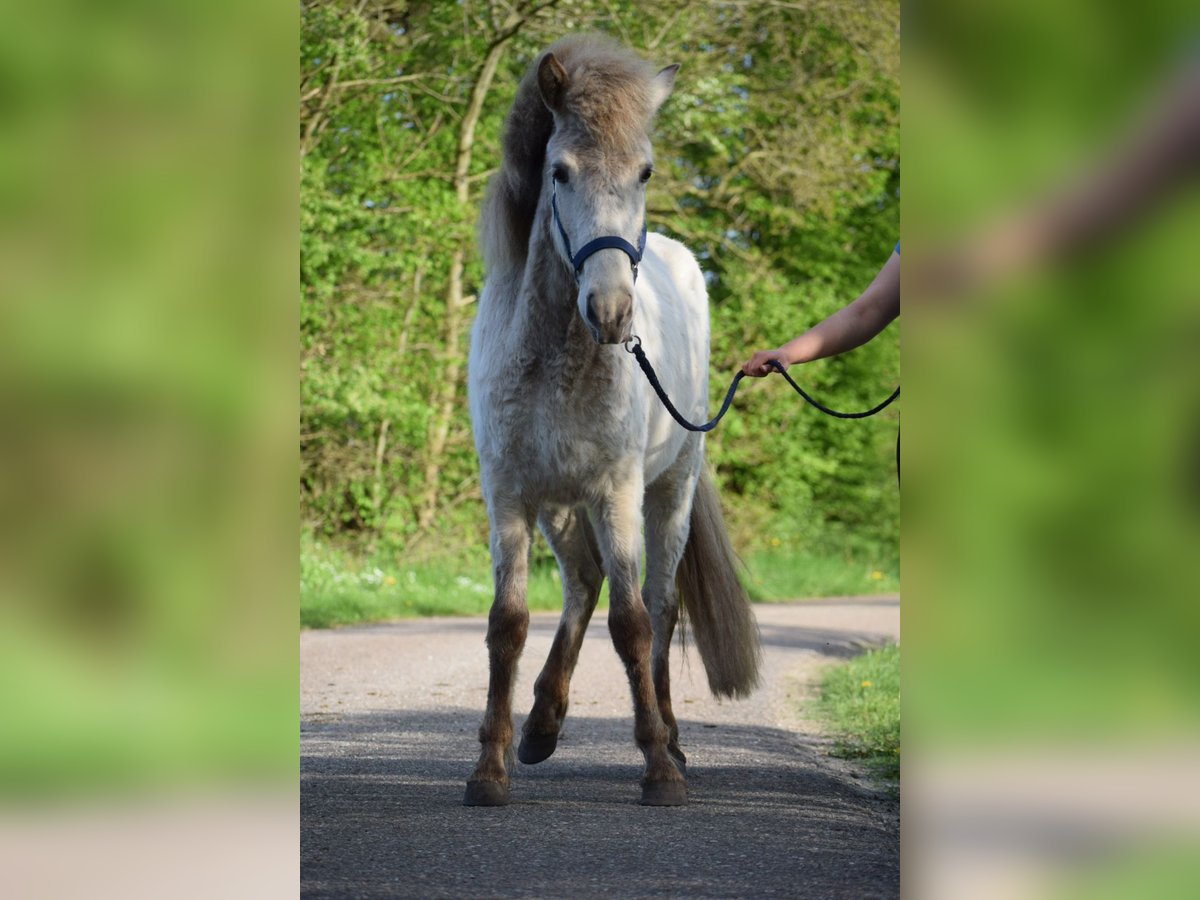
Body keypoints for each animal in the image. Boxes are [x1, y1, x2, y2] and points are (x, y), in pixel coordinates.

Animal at [465, 33, 758, 811]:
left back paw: (673, 742)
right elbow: (507, 624)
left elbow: (632, 625)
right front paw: (491, 769)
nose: (612, 310)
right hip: (562, 508)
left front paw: (658, 768)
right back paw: (542, 725)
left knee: (656, 605)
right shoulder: (511, 496)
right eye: (559, 172)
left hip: (665, 495)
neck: (554, 357)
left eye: (645, 171)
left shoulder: (617, 494)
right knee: (582, 585)